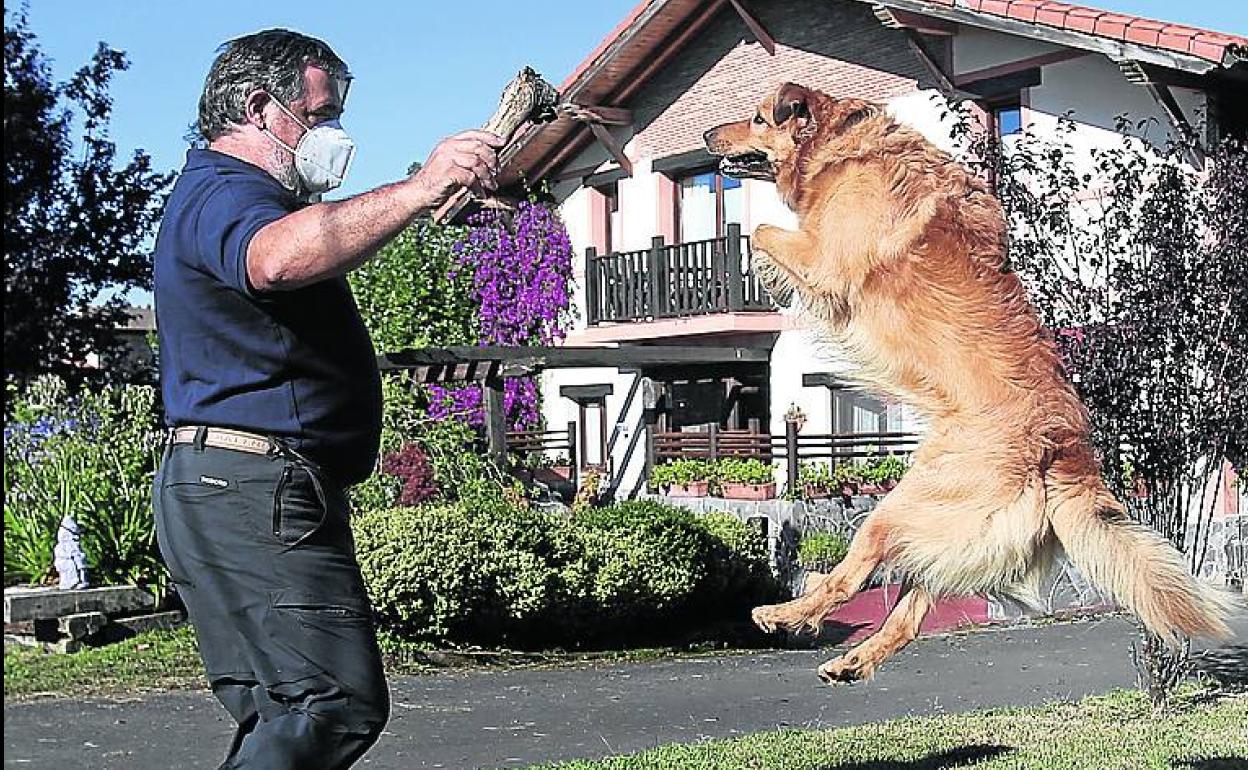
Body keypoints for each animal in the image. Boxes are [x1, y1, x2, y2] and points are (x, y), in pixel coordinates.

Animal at [704, 82, 1233, 684]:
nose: (708, 137)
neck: (842, 148)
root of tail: (1064, 446)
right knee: (910, 610)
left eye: (755, 118)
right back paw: (853, 660)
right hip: (951, 525)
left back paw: (786, 613)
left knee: (855, 573)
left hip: (904, 508)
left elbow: (762, 229)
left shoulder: (826, 260)